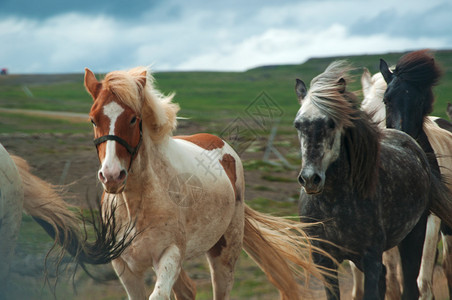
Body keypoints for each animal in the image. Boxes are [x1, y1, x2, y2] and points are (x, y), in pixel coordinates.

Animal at [85, 66, 332, 300]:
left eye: (133, 118)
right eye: (93, 119)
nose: (112, 176)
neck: (136, 204)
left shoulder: (171, 252)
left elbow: (159, 294)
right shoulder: (124, 267)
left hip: (224, 252)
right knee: (187, 290)